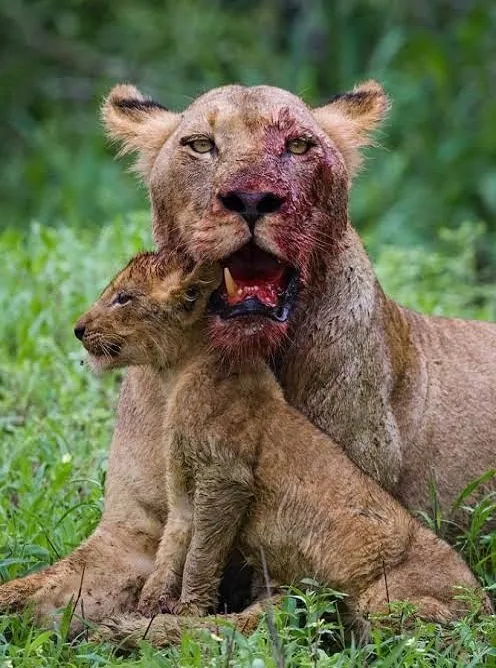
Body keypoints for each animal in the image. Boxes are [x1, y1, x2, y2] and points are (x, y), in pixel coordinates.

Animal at [1, 80, 494, 638]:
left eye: (299, 145)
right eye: (200, 145)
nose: (252, 198)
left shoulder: (310, 537)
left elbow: (233, 621)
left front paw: (143, 629)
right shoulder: (133, 532)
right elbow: (36, 588)